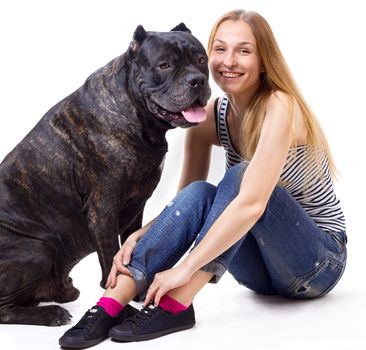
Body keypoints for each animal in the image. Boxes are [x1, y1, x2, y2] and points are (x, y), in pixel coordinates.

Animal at [0, 23, 210, 326]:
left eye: (202, 61)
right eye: (165, 65)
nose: (197, 80)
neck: (140, 118)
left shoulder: (136, 210)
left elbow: (132, 250)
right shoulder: (103, 209)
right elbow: (112, 261)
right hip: (36, 250)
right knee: (4, 308)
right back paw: (50, 313)